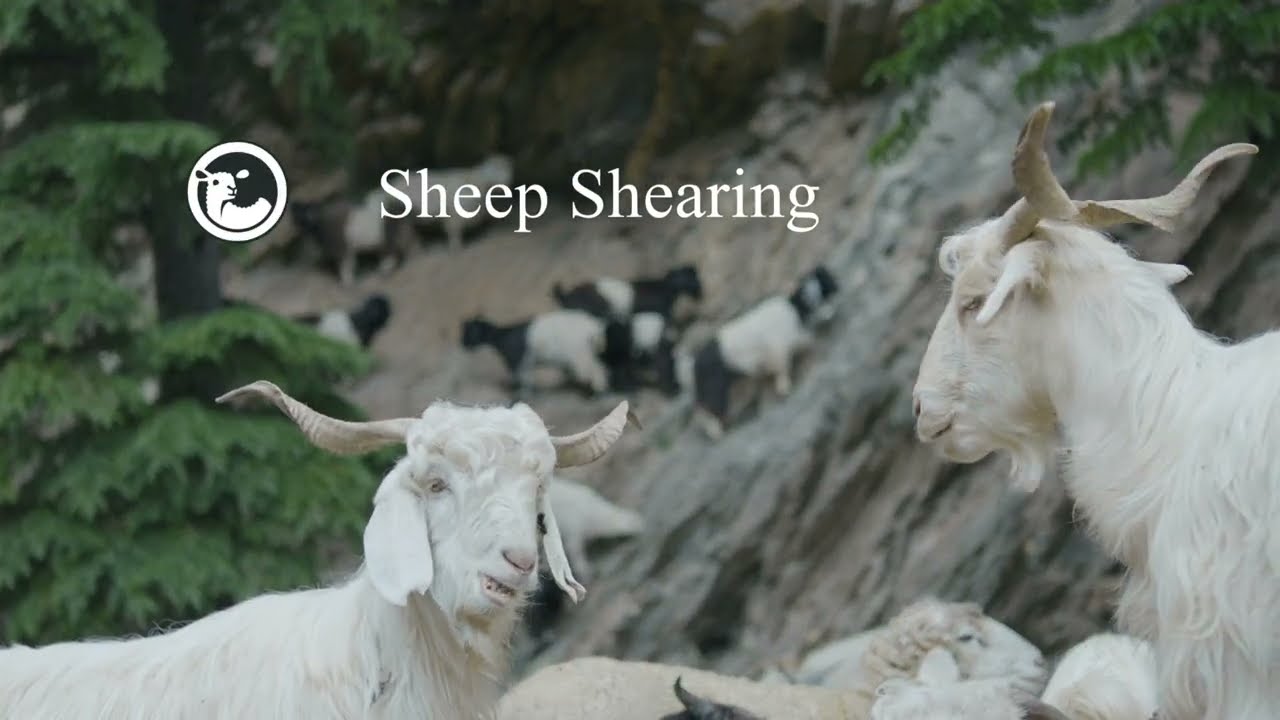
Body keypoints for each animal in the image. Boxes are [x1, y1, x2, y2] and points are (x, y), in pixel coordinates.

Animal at [460, 309, 612, 396]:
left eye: (470, 331)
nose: (463, 344)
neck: (503, 336)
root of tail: (594, 327)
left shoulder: (517, 360)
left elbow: (522, 379)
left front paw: (521, 395)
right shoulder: (525, 362)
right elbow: (526, 378)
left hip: (581, 353)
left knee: (596, 370)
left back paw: (596, 392)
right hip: (590, 351)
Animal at [687, 264, 840, 439]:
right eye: (826, 279)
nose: (837, 286)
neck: (795, 309)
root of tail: (694, 366)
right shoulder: (779, 348)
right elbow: (782, 368)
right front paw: (784, 388)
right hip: (715, 385)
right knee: (709, 408)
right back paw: (716, 431)